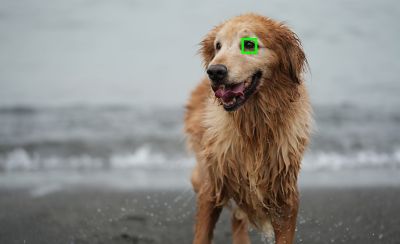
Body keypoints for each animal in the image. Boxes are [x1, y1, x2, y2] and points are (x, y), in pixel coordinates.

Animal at [184, 13, 312, 244]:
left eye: (249, 44)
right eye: (218, 46)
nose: (214, 72)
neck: (254, 125)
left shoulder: (285, 197)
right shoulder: (212, 186)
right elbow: (202, 235)